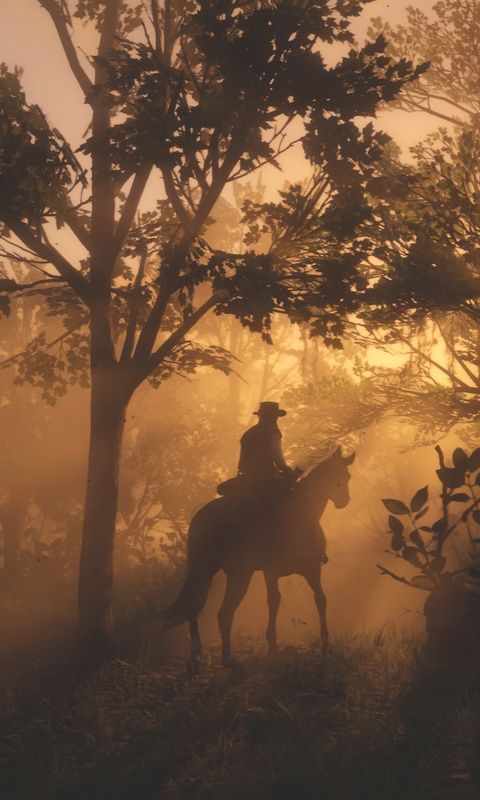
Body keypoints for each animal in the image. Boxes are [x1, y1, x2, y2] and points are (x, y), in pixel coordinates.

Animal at [163, 446, 354, 664]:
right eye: (344, 476)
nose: (344, 501)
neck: (306, 506)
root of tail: (205, 516)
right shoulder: (310, 569)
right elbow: (318, 599)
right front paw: (323, 640)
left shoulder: (272, 572)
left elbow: (276, 600)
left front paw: (273, 643)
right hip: (239, 574)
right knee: (223, 613)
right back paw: (227, 658)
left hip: (206, 570)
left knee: (194, 608)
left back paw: (197, 653)